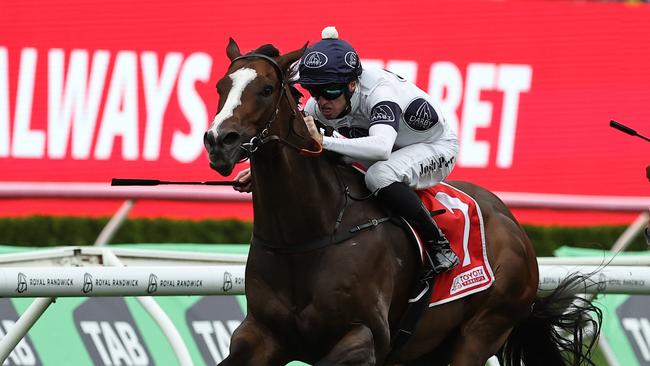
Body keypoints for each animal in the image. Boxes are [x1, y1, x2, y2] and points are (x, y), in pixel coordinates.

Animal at [201, 38, 596, 364]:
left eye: (266, 89)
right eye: (221, 86)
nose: (219, 141)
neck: (307, 235)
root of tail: (514, 226)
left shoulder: (367, 338)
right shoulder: (260, 335)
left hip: (482, 330)